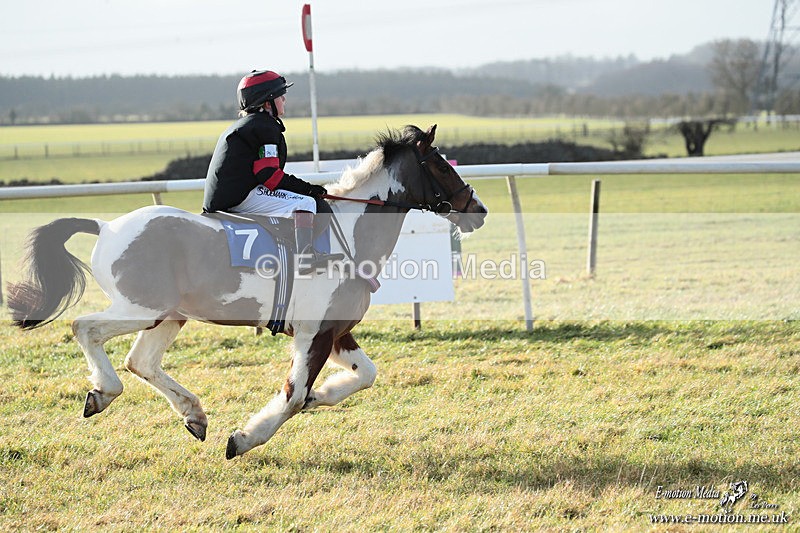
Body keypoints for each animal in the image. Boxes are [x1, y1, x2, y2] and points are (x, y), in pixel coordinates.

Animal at [6, 125, 488, 459]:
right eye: (442, 166)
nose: (478, 209)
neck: (347, 234)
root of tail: (106, 226)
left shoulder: (335, 332)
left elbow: (363, 376)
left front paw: (322, 396)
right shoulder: (313, 334)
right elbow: (293, 396)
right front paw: (244, 438)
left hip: (169, 315)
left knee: (140, 361)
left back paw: (193, 414)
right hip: (140, 308)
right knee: (85, 328)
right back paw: (103, 391)